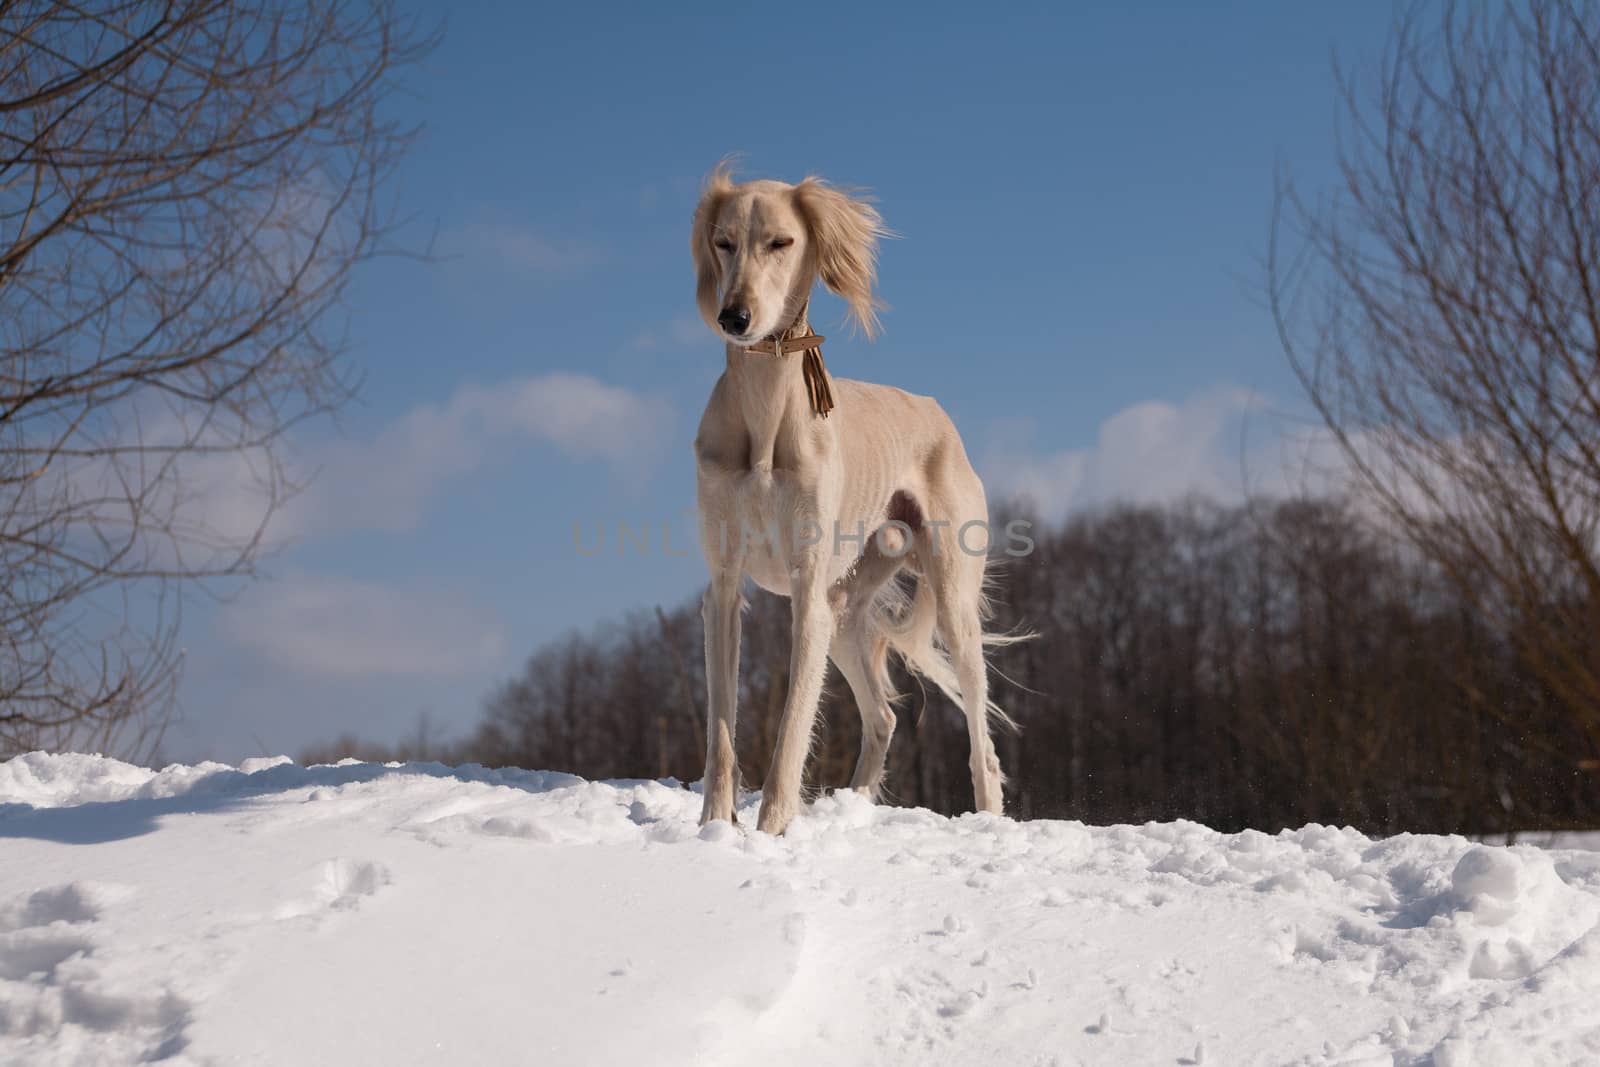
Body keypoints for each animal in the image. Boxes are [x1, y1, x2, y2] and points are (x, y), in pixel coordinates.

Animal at [688, 164, 1011, 831]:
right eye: (723, 242)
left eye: (781, 242)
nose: (735, 317)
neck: (765, 414)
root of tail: (936, 410)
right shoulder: (724, 587)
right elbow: (721, 732)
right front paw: (713, 830)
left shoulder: (806, 590)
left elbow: (791, 729)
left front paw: (771, 831)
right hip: (842, 609)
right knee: (884, 717)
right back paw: (856, 807)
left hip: (950, 603)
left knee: (982, 743)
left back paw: (989, 820)